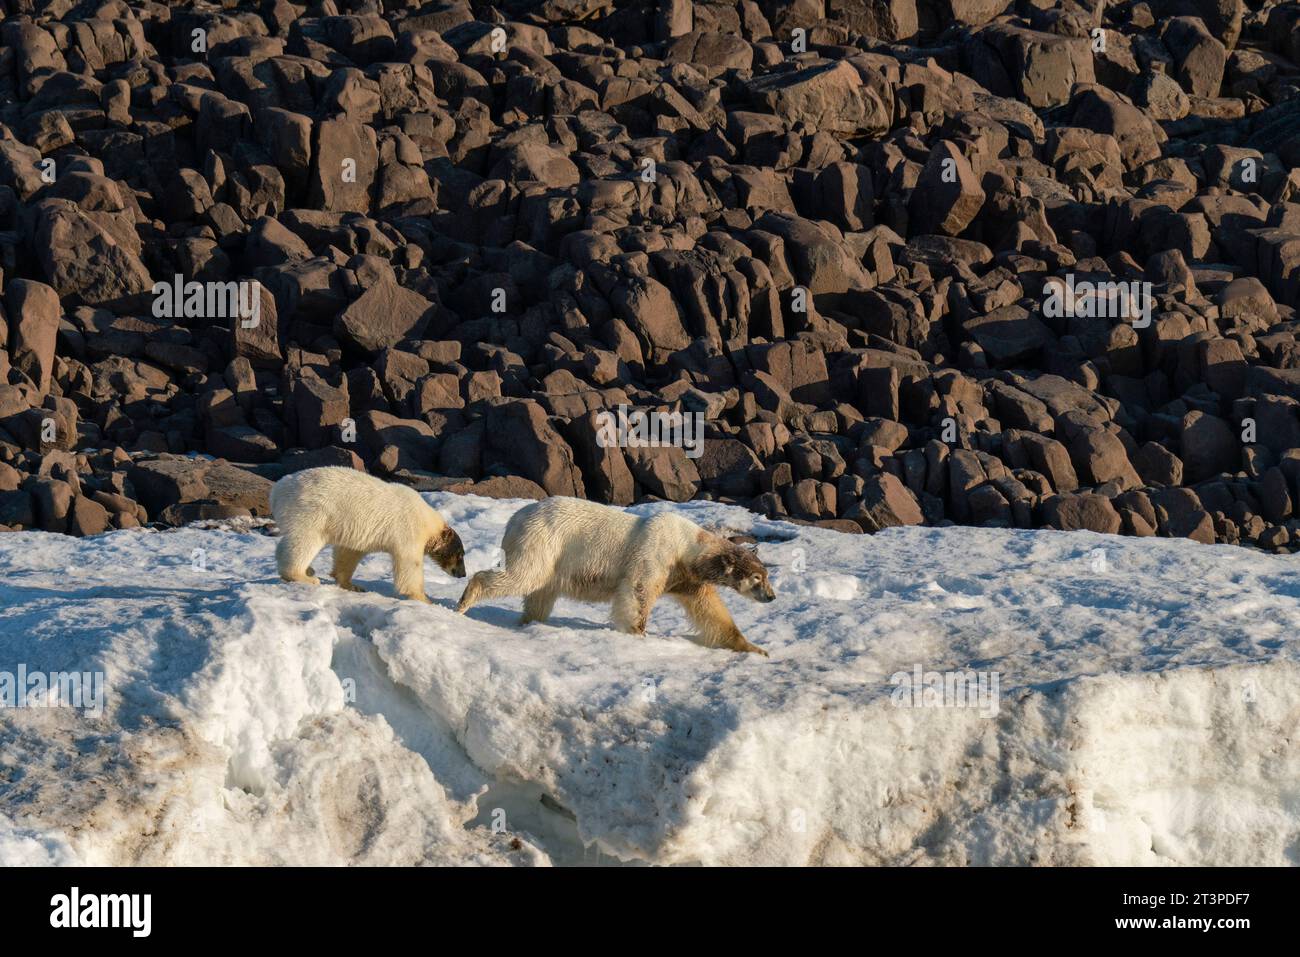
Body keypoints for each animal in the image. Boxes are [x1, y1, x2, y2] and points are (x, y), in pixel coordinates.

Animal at [266, 468, 465, 600]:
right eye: (460, 555)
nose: (463, 574)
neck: (428, 520)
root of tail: (277, 491)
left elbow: (349, 553)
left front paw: (353, 585)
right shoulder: (409, 530)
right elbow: (410, 565)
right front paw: (423, 598)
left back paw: (309, 570)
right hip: (311, 511)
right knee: (303, 542)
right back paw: (305, 576)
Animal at [454, 496, 769, 655]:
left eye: (765, 574)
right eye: (757, 578)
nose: (771, 595)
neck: (688, 544)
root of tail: (514, 518)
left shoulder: (686, 577)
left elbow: (711, 610)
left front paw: (754, 648)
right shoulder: (656, 554)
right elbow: (637, 592)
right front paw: (638, 634)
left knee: (540, 594)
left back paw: (530, 621)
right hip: (542, 541)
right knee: (523, 576)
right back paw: (466, 600)